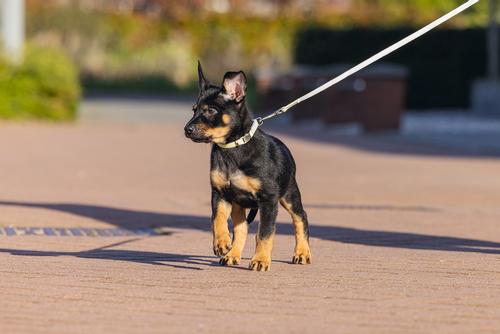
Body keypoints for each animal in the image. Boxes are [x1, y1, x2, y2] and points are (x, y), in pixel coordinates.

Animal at [184, 62, 310, 272]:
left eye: (211, 110)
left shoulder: (268, 200)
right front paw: (221, 243)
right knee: (241, 228)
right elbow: (217, 220)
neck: (232, 148)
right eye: (194, 110)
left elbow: (265, 233)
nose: (187, 130)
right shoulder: (220, 193)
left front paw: (260, 260)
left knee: (300, 218)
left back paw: (302, 253)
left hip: (289, 194)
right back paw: (232, 255)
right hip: (239, 203)